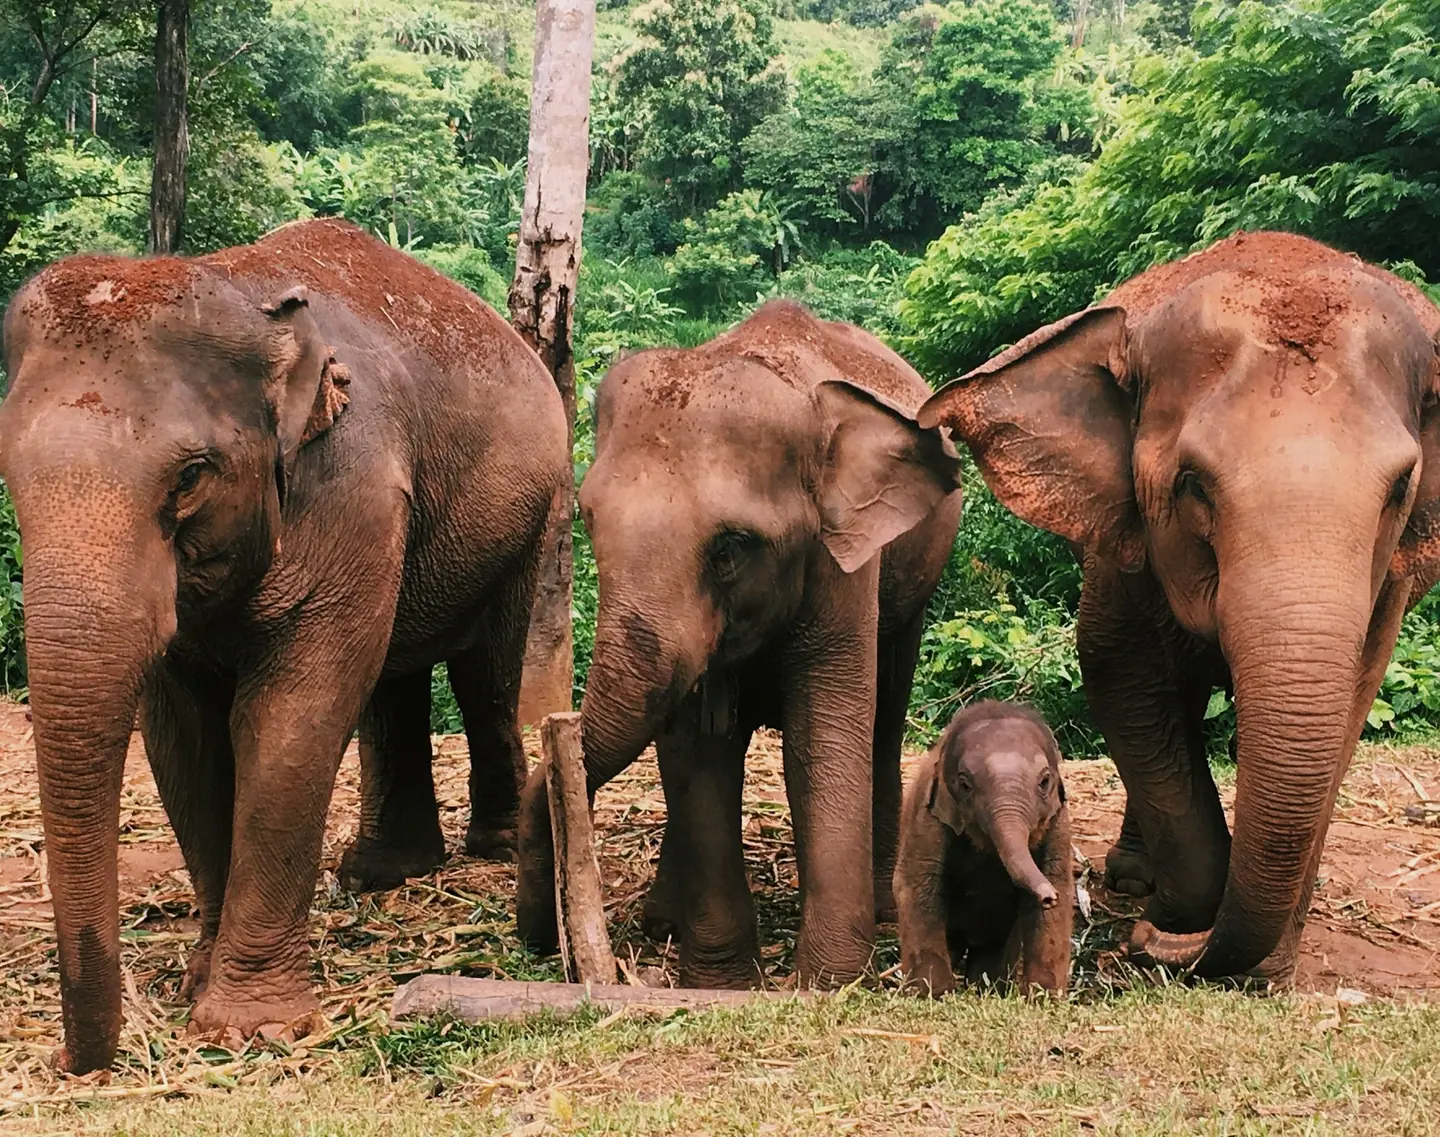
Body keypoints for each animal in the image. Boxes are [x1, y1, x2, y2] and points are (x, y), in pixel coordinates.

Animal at [0, 218, 568, 1073]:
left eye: (190, 477)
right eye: (10, 475)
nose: (86, 1060)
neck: (243, 293)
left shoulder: (353, 484)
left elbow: (289, 717)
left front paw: (250, 1028)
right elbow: (185, 739)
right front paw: (198, 983)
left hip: (529, 517)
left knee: (482, 674)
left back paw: (490, 847)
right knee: (394, 678)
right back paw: (379, 873)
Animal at [514, 300, 964, 989]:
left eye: (729, 549)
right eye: (589, 520)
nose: (538, 938)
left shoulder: (842, 566)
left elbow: (823, 740)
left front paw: (825, 985)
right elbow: (697, 751)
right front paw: (723, 985)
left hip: (915, 582)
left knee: (886, 716)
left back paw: (886, 908)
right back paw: (662, 924)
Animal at [893, 700, 1073, 997]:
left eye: (1045, 782)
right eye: (965, 784)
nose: (1047, 896)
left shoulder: (1058, 822)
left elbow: (1059, 886)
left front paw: (1043, 996)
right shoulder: (927, 818)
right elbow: (917, 886)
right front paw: (933, 994)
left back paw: (988, 989)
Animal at [918, 230, 1440, 982]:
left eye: (1401, 487)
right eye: (1192, 482)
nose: (1141, 942)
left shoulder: (1387, 586)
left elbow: (1353, 699)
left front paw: (1262, 968)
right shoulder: (1122, 541)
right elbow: (1119, 673)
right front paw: (1176, 915)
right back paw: (1134, 877)